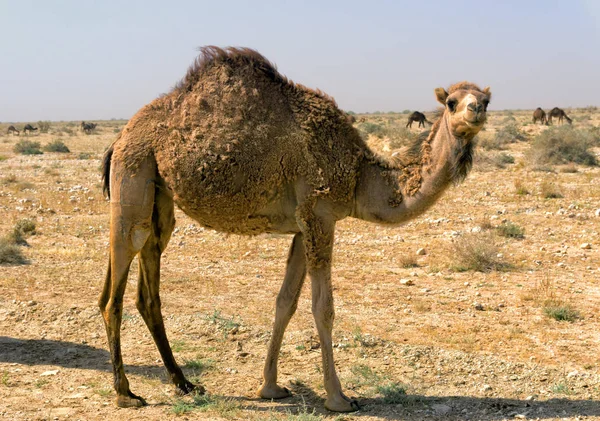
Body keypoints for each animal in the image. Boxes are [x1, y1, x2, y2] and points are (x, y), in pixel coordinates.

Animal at [99, 45, 492, 410]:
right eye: (452, 102)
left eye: (487, 99)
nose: (476, 111)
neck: (359, 175)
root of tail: (119, 139)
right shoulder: (320, 215)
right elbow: (323, 308)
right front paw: (338, 397)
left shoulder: (303, 228)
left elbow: (284, 303)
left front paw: (270, 387)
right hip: (133, 175)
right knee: (114, 290)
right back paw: (125, 393)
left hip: (159, 196)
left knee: (148, 281)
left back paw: (184, 382)